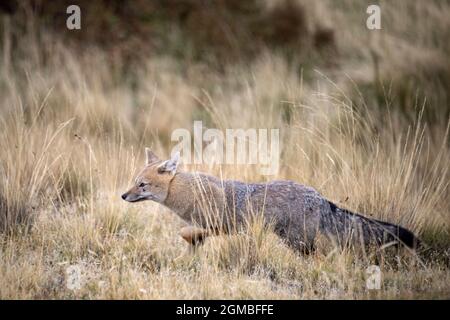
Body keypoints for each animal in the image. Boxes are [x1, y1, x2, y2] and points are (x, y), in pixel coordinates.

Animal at [121, 149, 420, 254]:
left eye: (142, 185)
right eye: (133, 181)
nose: (123, 196)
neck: (187, 192)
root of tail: (321, 197)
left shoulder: (222, 225)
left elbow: (189, 231)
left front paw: (190, 237)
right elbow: (192, 238)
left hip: (298, 242)